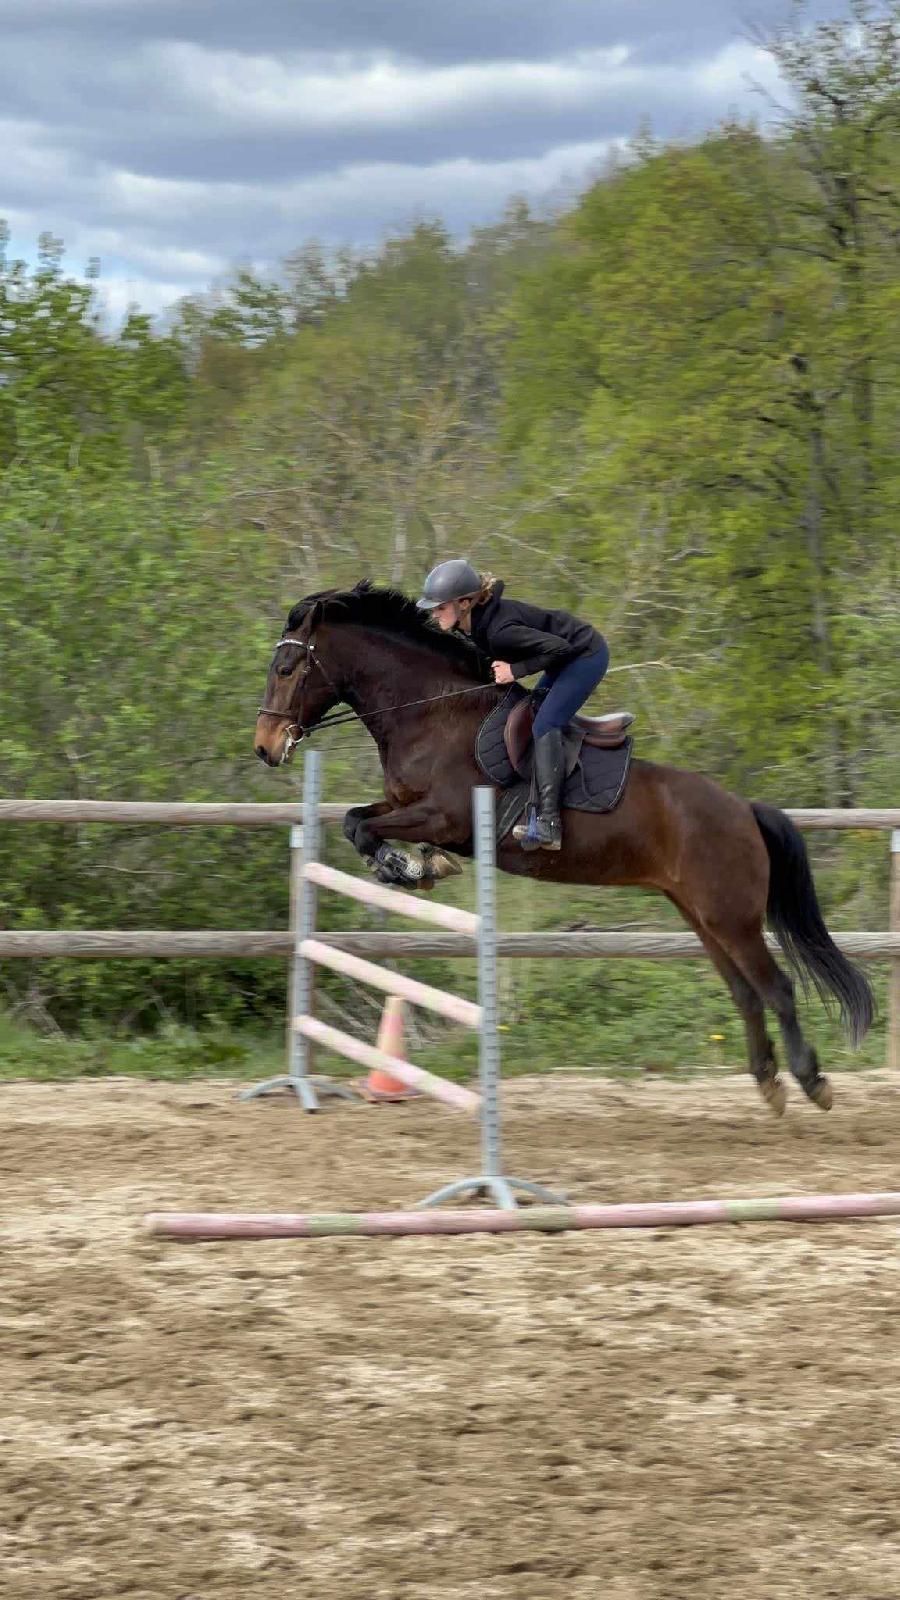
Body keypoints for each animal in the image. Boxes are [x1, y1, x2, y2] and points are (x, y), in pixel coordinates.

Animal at [253, 582, 871, 1120]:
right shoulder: (406, 807)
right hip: (701, 915)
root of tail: (745, 809)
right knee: (746, 993)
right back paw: (768, 1082)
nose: (265, 748)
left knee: (776, 988)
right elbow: (356, 821)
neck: (428, 710)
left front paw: (408, 865)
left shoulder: (448, 816)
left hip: (731, 917)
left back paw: (811, 1081)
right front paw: (413, 866)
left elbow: (366, 828)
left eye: (286, 670)